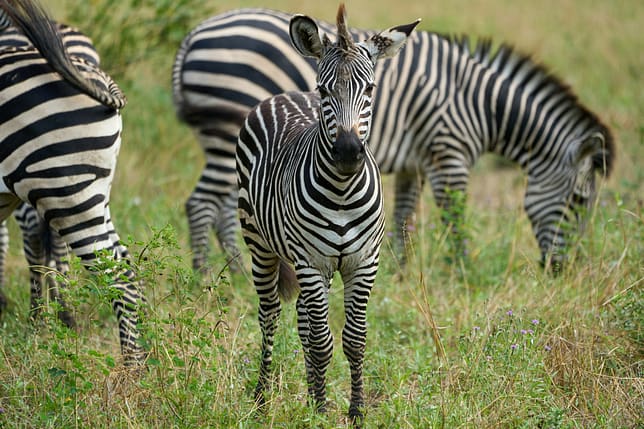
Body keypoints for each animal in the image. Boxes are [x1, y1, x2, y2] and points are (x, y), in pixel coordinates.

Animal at [173, 8, 614, 274]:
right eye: (579, 202)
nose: (564, 270)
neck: (479, 103)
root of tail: (192, 35)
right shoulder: (448, 153)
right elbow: (455, 217)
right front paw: (463, 272)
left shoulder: (413, 163)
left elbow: (404, 219)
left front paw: (403, 274)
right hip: (229, 127)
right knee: (200, 204)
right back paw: (210, 277)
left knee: (225, 208)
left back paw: (234, 269)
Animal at [237, 4, 418, 422]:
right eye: (324, 90)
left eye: (370, 89)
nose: (349, 152)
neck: (342, 193)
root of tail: (284, 95)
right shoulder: (311, 262)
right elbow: (322, 341)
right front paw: (320, 413)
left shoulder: (363, 262)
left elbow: (353, 339)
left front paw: (354, 410)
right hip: (261, 245)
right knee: (270, 314)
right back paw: (262, 399)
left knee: (303, 318)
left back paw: (309, 392)